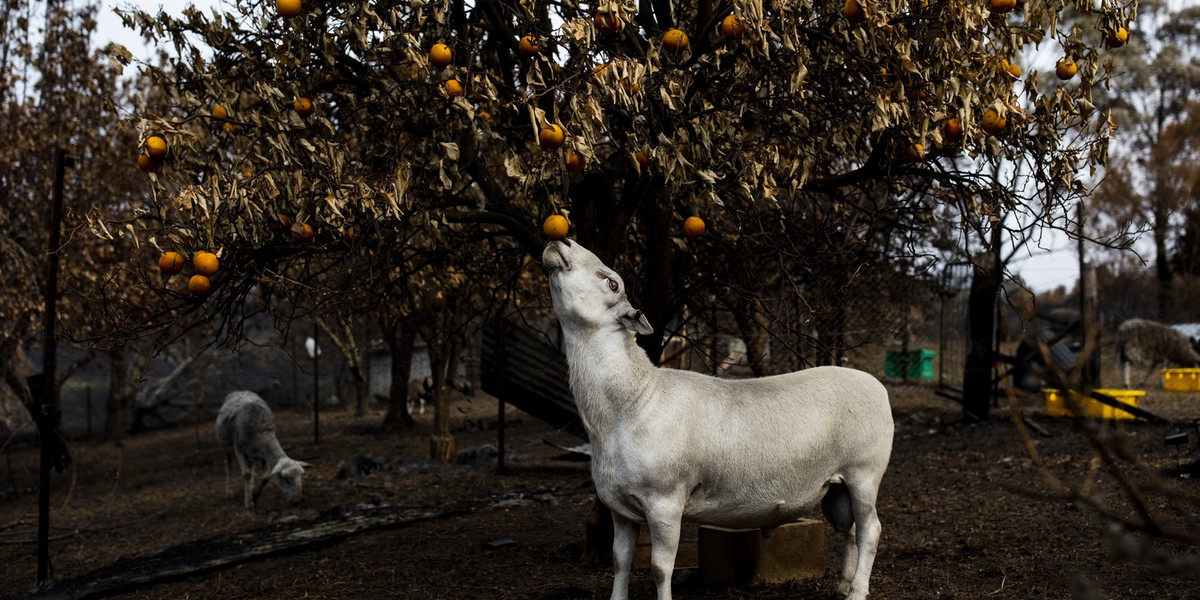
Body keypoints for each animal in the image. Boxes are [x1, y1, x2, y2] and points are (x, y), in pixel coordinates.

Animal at [544, 238, 892, 600]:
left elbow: (659, 568)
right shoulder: (619, 509)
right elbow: (619, 561)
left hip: (864, 471)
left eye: (612, 283)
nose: (561, 241)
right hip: (838, 486)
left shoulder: (666, 502)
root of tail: (876, 384)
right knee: (850, 532)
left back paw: (857, 591)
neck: (634, 400)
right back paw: (843, 586)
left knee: (870, 530)